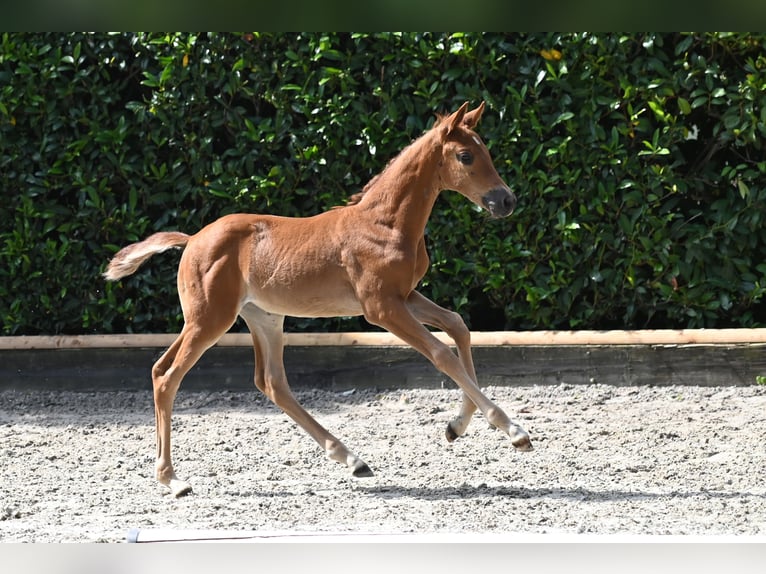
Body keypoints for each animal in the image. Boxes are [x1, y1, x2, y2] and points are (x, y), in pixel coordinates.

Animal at [103, 103, 536, 500]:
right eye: (465, 156)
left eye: (486, 151)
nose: (506, 201)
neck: (385, 223)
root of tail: (192, 239)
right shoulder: (381, 308)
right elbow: (442, 353)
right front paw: (514, 431)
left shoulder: (405, 295)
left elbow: (458, 325)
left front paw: (456, 427)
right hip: (210, 319)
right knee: (168, 376)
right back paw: (172, 480)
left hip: (258, 317)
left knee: (266, 381)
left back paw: (352, 458)